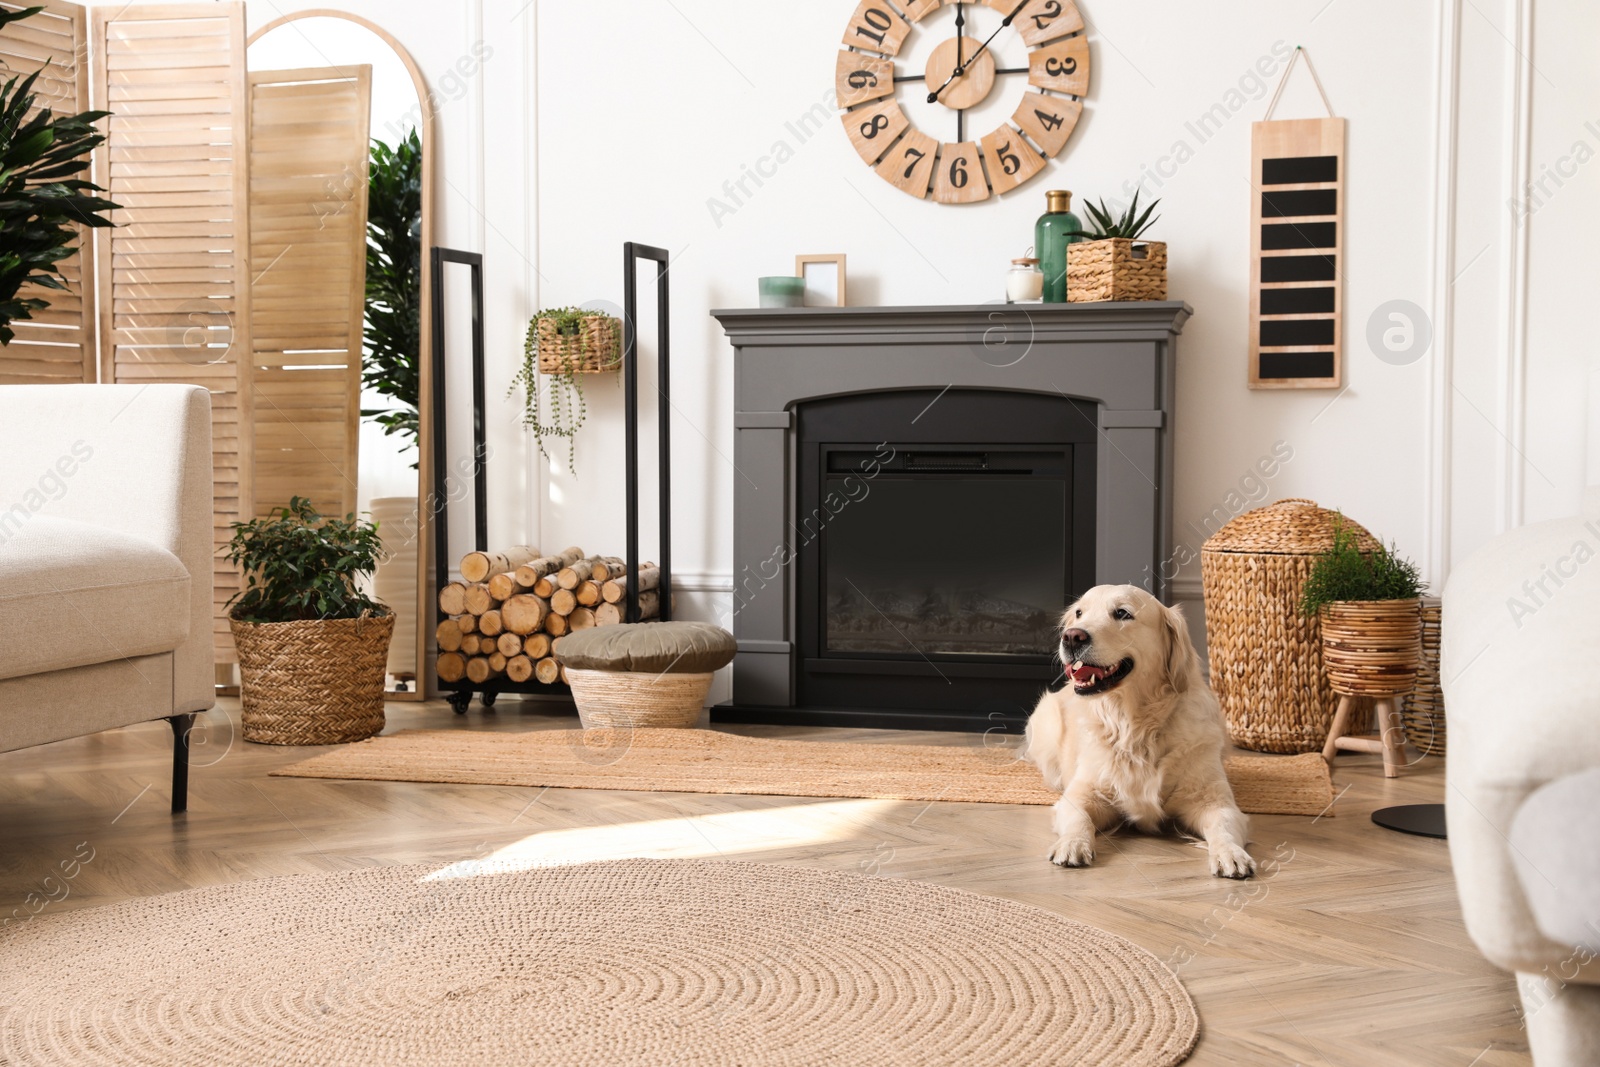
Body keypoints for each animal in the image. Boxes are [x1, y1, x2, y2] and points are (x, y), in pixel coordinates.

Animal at [1017, 588, 1254, 883]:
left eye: (1122, 613)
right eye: (1079, 613)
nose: (1072, 636)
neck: (1134, 725)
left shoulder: (1214, 800)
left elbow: (1223, 825)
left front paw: (1231, 854)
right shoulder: (1083, 793)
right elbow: (1078, 817)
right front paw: (1072, 844)